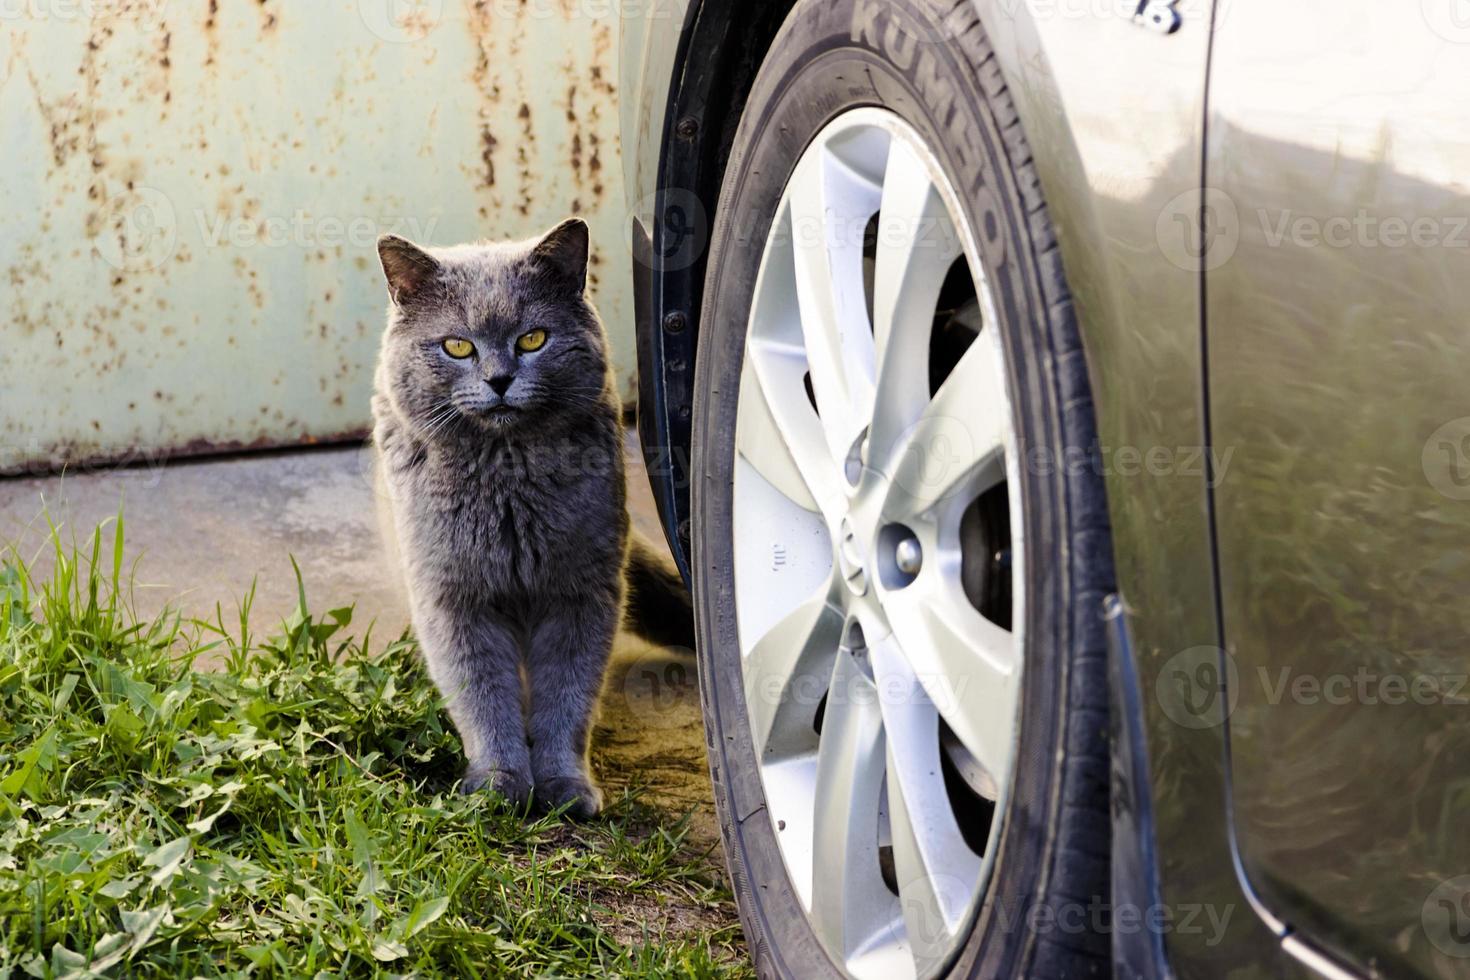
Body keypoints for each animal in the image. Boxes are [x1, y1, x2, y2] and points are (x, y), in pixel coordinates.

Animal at [367, 218, 687, 816]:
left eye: (533, 339)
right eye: (457, 346)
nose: (498, 379)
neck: (507, 484)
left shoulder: (583, 593)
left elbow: (568, 695)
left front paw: (564, 787)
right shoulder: (453, 600)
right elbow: (483, 697)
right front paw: (499, 785)